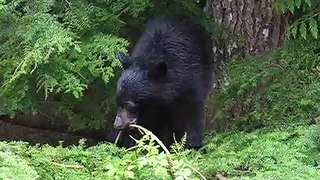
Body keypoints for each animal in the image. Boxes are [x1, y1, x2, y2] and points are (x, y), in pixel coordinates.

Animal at [112, 14, 212, 149]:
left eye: (128, 104)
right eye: (118, 102)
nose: (117, 125)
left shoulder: (191, 81)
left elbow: (192, 112)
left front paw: (193, 143)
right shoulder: (149, 109)